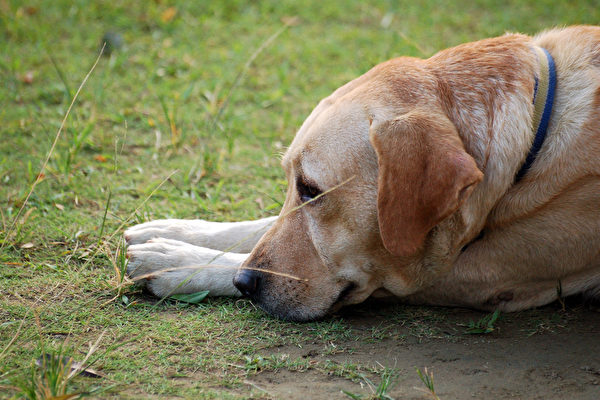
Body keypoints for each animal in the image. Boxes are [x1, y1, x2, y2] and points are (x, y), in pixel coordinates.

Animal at [125, 26, 600, 322]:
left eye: (312, 189)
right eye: (294, 185)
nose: (245, 283)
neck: (537, 129)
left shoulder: (471, 274)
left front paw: (174, 261)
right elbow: (259, 224)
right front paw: (174, 230)